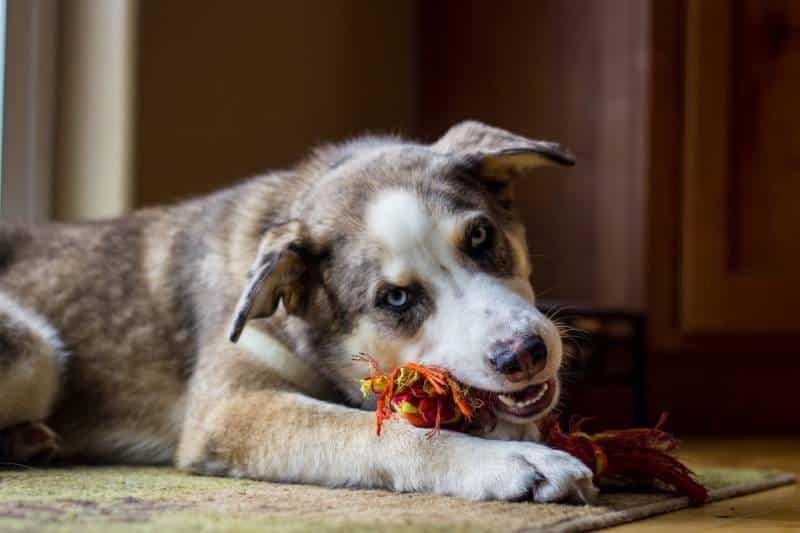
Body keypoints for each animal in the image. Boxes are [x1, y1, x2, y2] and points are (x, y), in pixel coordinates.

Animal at [0, 121, 596, 502]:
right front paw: (515, 463)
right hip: (34, 349)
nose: (525, 354)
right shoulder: (230, 410)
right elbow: (382, 431)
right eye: (395, 299)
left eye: (480, 236)